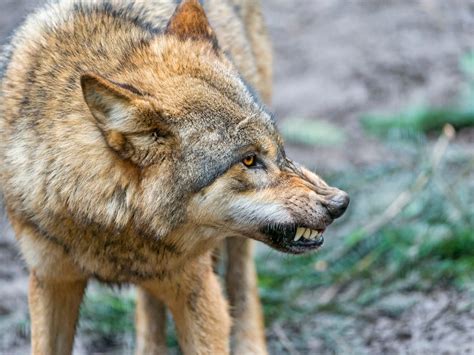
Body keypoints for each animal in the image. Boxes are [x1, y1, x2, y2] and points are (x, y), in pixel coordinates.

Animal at [0, 1, 348, 354]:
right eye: (249, 160)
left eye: (280, 150)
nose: (340, 203)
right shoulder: (50, 281)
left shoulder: (199, 292)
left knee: (242, 281)